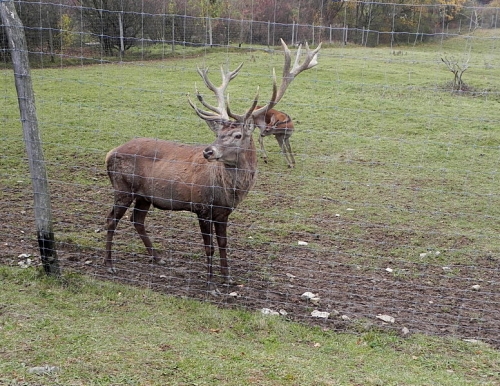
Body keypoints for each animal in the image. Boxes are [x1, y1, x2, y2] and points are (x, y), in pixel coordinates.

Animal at [104, 39, 320, 286]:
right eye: (218, 133)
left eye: (237, 135)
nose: (208, 151)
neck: (227, 191)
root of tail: (110, 153)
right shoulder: (202, 207)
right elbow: (209, 248)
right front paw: (210, 284)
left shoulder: (223, 213)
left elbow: (224, 245)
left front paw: (226, 278)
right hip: (123, 188)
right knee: (111, 220)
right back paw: (109, 264)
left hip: (144, 195)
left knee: (137, 220)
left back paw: (157, 257)